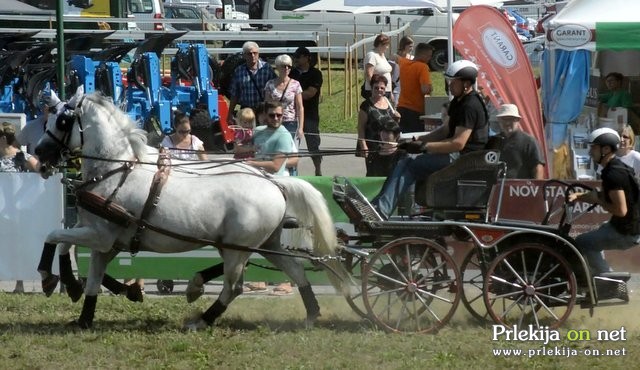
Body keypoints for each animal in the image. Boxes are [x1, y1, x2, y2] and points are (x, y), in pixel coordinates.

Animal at [34, 92, 348, 330]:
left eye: (62, 120)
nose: (38, 154)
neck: (117, 169)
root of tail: (274, 182)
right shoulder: (103, 240)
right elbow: (86, 270)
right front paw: (83, 310)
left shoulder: (101, 236)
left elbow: (53, 236)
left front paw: (51, 279)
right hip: (266, 243)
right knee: (295, 270)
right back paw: (311, 313)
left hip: (237, 249)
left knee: (233, 288)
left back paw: (201, 319)